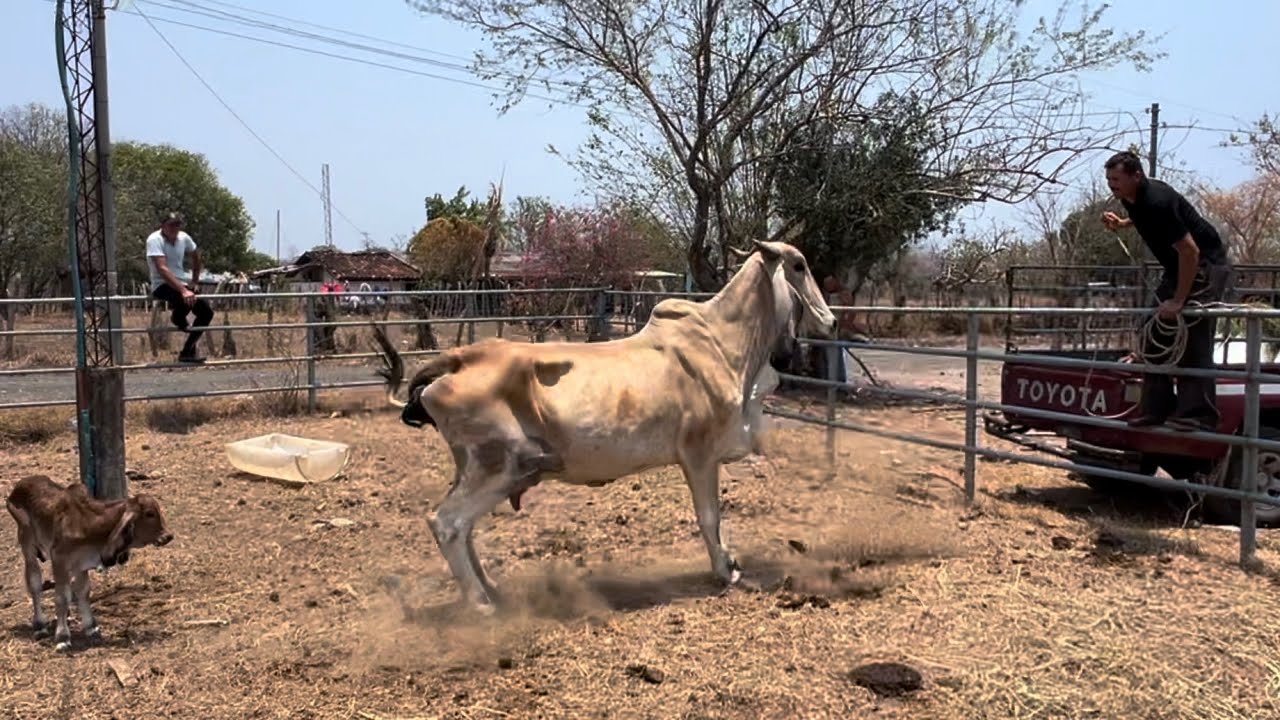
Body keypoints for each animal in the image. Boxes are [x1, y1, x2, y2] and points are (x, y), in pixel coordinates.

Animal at [5, 475, 174, 651]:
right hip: (27, 545)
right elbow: (61, 598)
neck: (88, 522)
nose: (168, 536)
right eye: (149, 514)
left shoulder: (81, 564)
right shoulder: (59, 560)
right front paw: (62, 637)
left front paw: (91, 627)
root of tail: (20, 485)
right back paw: (39, 625)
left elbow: (83, 592)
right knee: (35, 585)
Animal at [370, 238, 836, 612]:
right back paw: (482, 604)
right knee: (446, 523)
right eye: (799, 265)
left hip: (478, 468)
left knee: (463, 529)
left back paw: (493, 589)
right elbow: (709, 517)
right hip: (502, 465)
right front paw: (726, 570)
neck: (726, 345)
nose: (831, 320)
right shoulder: (699, 454)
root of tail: (458, 359)